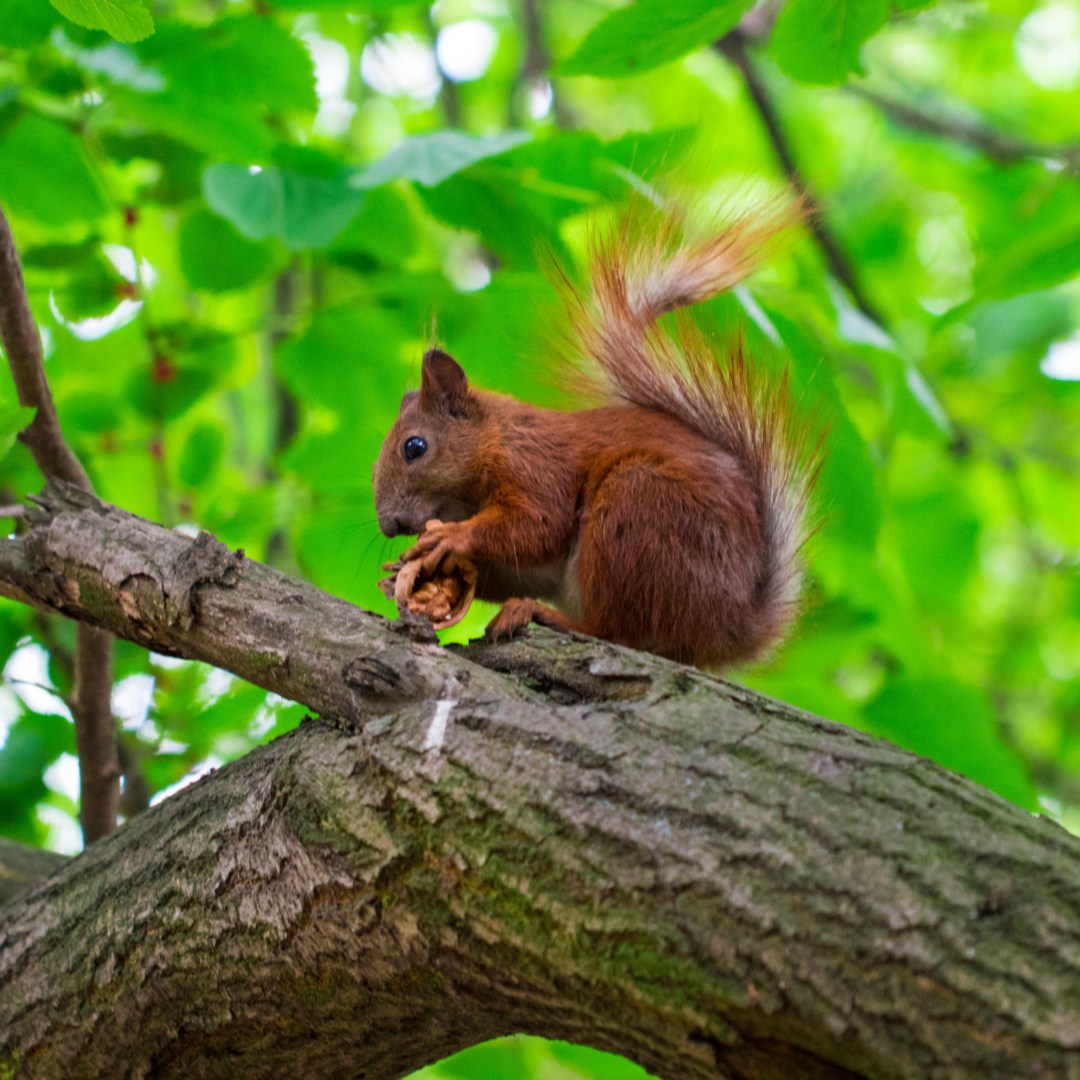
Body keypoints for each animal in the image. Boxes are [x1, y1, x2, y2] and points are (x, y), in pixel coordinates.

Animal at [371, 203, 816, 665]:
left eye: (414, 447)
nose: (388, 525)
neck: (495, 439)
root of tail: (732, 624)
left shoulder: (535, 467)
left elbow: (538, 524)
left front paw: (451, 536)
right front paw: (399, 572)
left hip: (635, 510)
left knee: (617, 632)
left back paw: (544, 615)